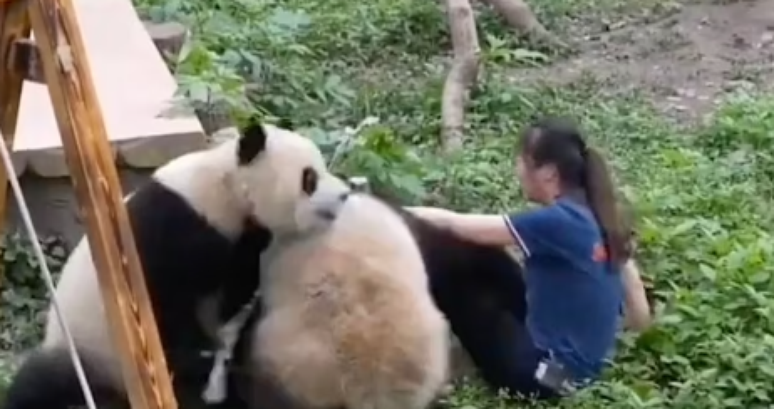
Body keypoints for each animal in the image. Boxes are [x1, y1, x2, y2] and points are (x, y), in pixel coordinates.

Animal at [3, 121, 352, 408]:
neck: (226, 188)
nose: (345, 194)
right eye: (309, 178)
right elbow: (160, 301)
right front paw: (196, 358)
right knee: (40, 384)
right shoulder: (172, 225)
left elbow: (233, 298)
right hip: (87, 350)